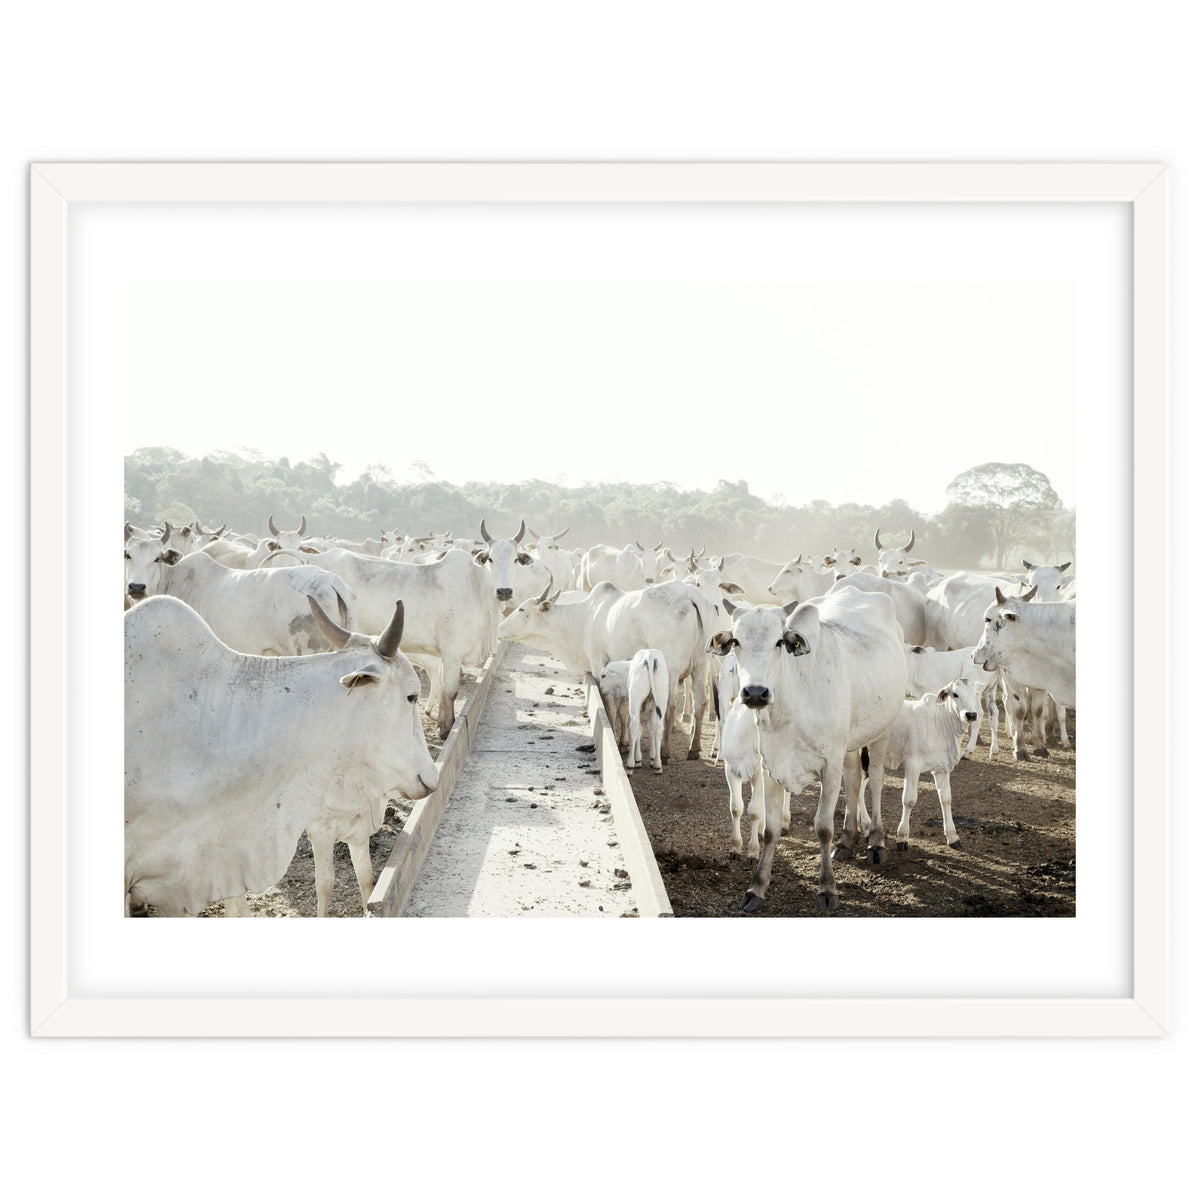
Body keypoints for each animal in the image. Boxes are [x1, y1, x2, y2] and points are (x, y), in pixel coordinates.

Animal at [498, 579, 712, 760]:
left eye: (521, 609)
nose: (500, 629)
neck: (584, 618)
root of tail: (687, 592)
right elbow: (624, 709)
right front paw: (624, 743)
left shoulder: (598, 665)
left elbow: (609, 705)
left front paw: (615, 738)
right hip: (701, 666)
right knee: (701, 702)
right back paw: (694, 749)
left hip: (670, 671)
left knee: (670, 707)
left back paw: (665, 752)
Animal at [708, 588, 907, 912]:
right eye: (736, 641)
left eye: (779, 641)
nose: (755, 693)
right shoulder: (771, 767)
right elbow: (770, 829)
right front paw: (756, 888)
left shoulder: (829, 764)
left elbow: (823, 827)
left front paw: (827, 889)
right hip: (848, 744)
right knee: (854, 780)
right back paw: (847, 840)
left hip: (883, 728)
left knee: (876, 779)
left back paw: (876, 842)